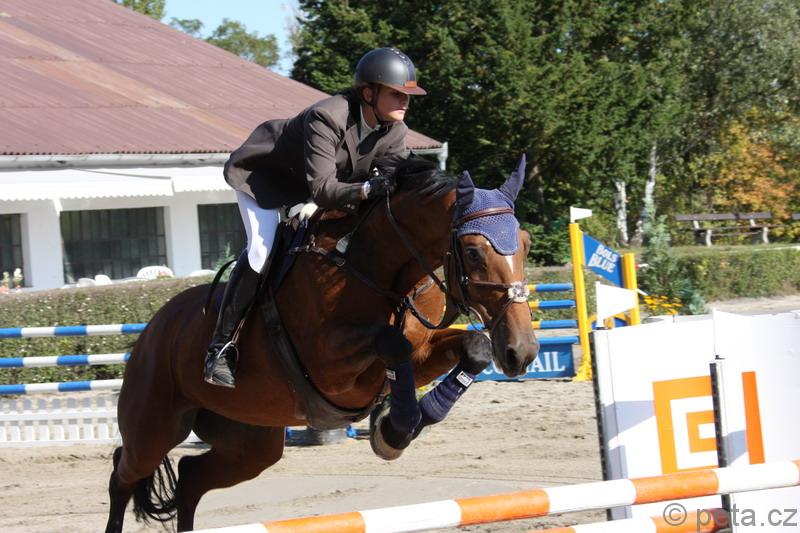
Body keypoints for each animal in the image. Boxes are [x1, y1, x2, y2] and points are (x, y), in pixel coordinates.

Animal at [105, 154, 539, 532]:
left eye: (526, 243)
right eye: (473, 251)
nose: (522, 352)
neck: (373, 267)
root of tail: (153, 327)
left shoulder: (422, 352)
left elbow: (473, 347)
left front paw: (404, 421)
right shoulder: (331, 366)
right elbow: (391, 343)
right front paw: (394, 430)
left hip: (251, 441)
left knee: (191, 477)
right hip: (154, 428)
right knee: (123, 474)